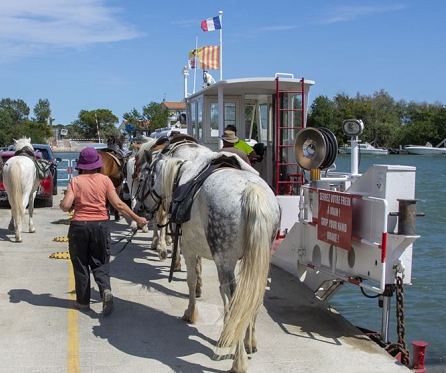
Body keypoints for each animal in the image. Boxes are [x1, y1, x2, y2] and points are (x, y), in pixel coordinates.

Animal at [143, 150, 280, 370]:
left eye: (145, 178)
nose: (140, 206)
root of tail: (251, 190)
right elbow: (225, 293)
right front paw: (228, 332)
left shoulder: (189, 249)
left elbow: (192, 281)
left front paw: (191, 313)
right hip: (258, 258)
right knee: (252, 296)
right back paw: (249, 342)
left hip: (225, 258)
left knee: (237, 300)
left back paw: (239, 362)